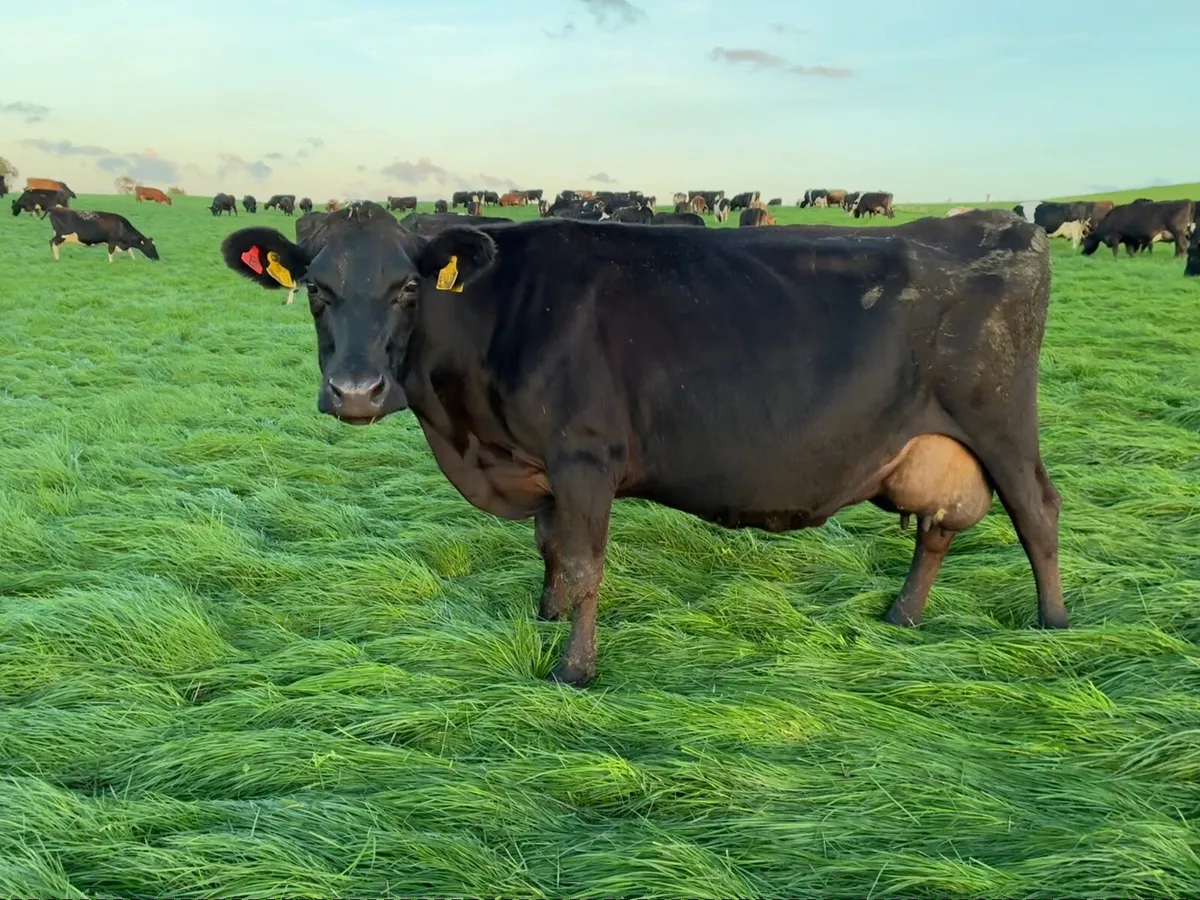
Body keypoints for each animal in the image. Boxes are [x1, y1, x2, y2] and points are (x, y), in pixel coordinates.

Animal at [217, 205, 1067, 686]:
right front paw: (547, 616)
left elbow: (587, 563)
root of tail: (1000, 223)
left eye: (407, 289)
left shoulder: (586, 456)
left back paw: (1054, 624)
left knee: (1037, 511)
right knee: (940, 528)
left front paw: (575, 669)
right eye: (317, 290)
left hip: (1000, 422)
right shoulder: (542, 466)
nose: (356, 391)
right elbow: (551, 547)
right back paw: (902, 615)